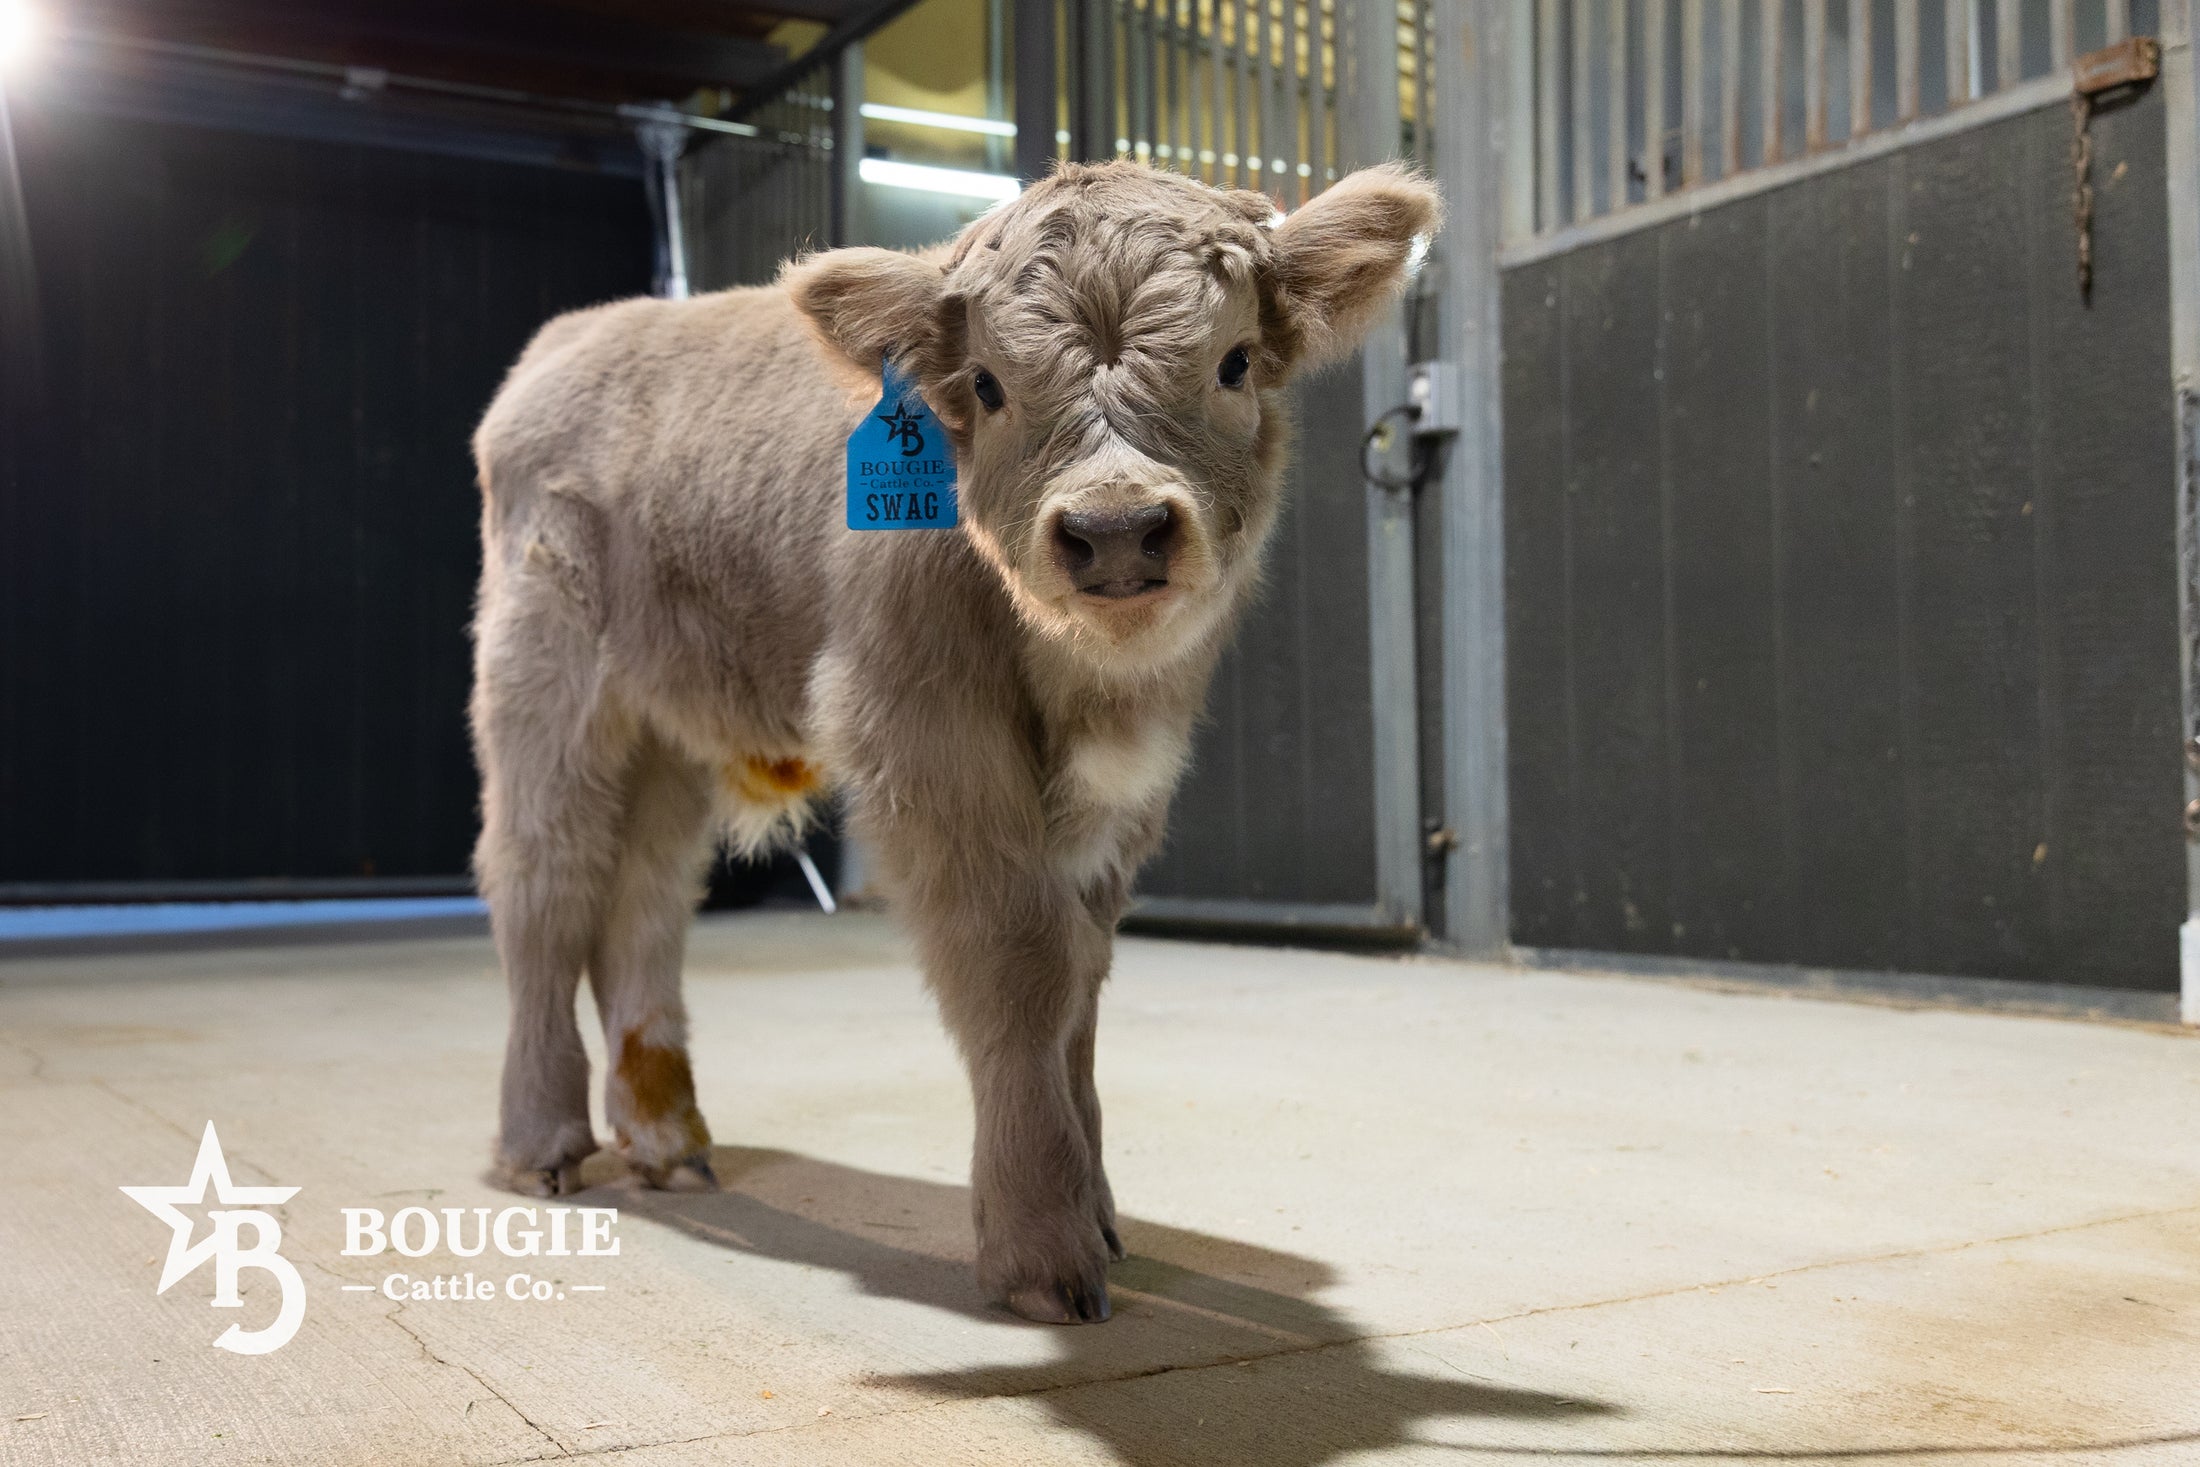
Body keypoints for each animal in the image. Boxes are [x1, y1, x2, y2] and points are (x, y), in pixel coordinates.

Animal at [469, 159, 1440, 1322]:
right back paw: (542, 1143)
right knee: (546, 883)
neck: (1082, 684)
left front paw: (1102, 1213)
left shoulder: (1124, 790)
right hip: (547, 685)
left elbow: (1079, 979)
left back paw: (666, 1139)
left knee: (642, 902)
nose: (1116, 531)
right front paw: (1041, 1243)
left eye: (1235, 360)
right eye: (985, 385)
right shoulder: (923, 730)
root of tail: (575, 338)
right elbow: (1016, 959)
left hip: (672, 725)